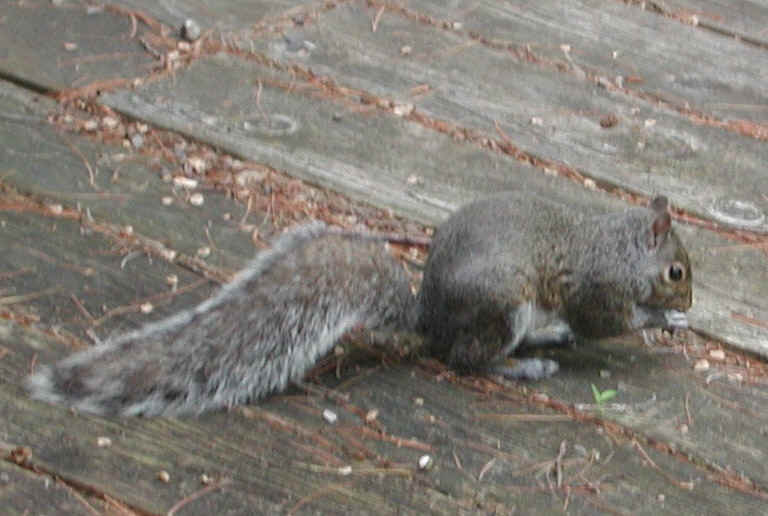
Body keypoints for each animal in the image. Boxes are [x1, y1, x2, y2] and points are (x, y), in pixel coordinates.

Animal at [26, 192, 692, 416]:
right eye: (677, 271)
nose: (689, 295)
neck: (621, 244)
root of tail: (429, 319)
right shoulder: (597, 286)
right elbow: (606, 320)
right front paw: (663, 316)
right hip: (502, 308)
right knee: (466, 359)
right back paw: (522, 364)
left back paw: (545, 340)